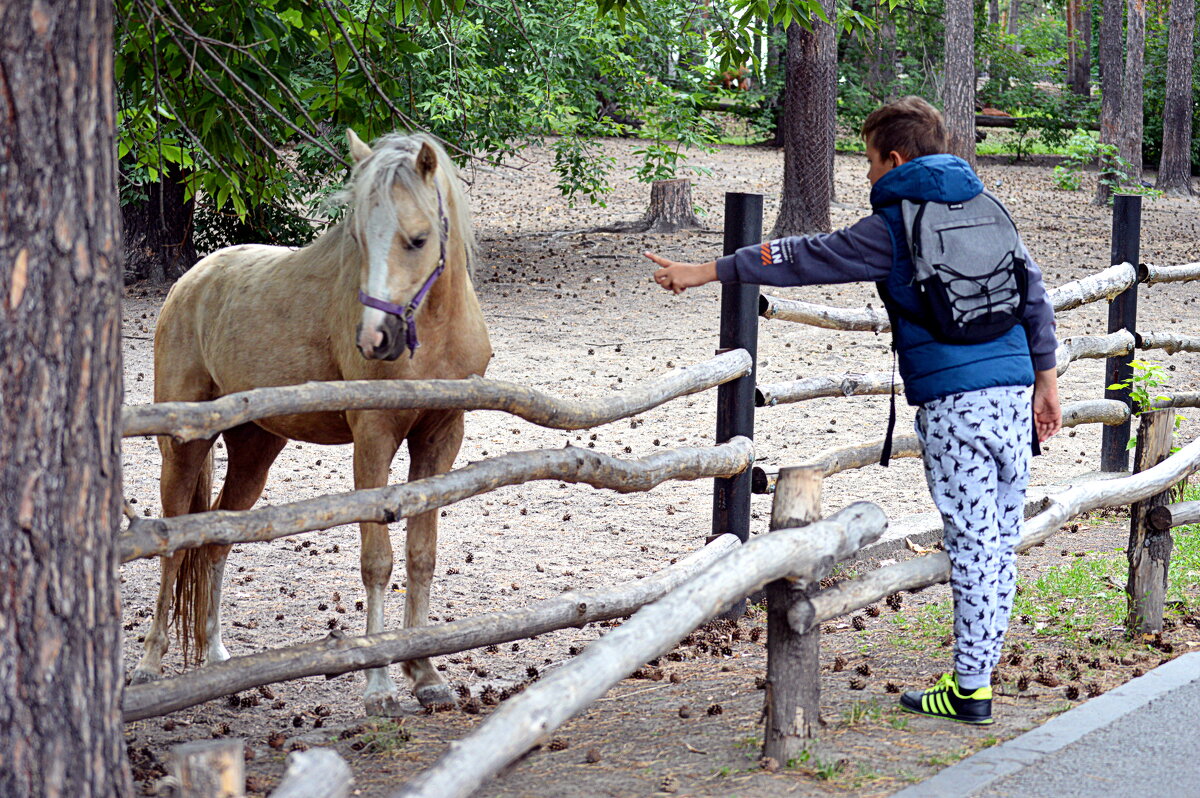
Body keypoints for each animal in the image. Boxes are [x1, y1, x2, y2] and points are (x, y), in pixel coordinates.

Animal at [129, 133, 489, 710]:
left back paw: (217, 656)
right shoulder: (373, 441)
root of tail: (192, 281)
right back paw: (149, 664)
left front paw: (425, 673)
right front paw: (379, 685)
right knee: (175, 547)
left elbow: (421, 555)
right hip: (184, 452)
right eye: (359, 238)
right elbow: (377, 560)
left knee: (215, 542)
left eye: (417, 239)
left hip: (254, 453)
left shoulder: (440, 440)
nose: (375, 339)